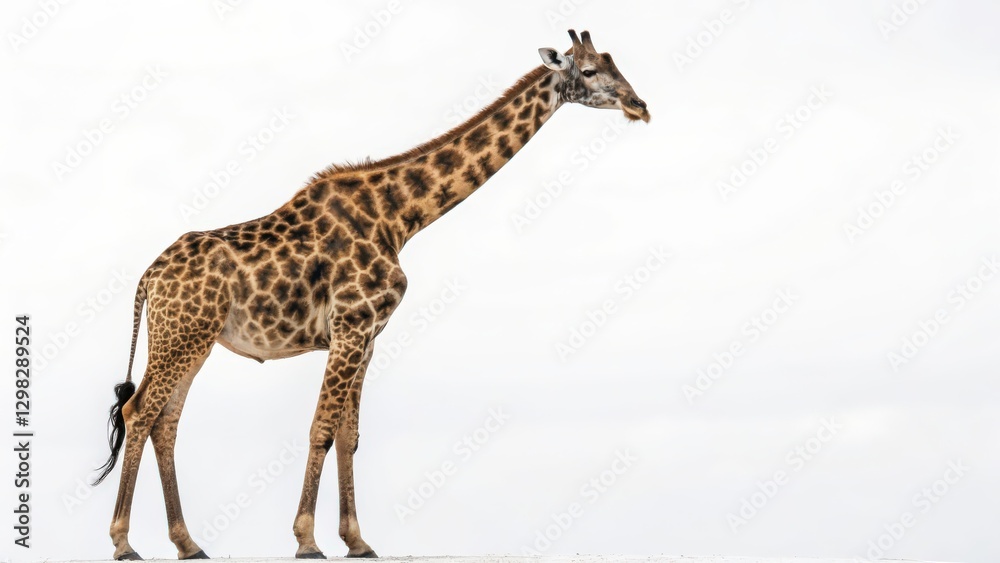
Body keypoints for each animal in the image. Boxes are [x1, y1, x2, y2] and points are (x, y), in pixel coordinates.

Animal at [93, 29, 649, 560]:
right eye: (591, 70)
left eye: (615, 64)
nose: (640, 105)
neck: (399, 217)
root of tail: (149, 278)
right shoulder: (351, 325)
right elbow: (322, 428)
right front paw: (307, 540)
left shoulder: (370, 336)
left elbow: (349, 436)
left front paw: (357, 540)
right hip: (181, 337)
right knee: (139, 413)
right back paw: (124, 543)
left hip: (192, 340)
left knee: (164, 421)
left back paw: (188, 543)